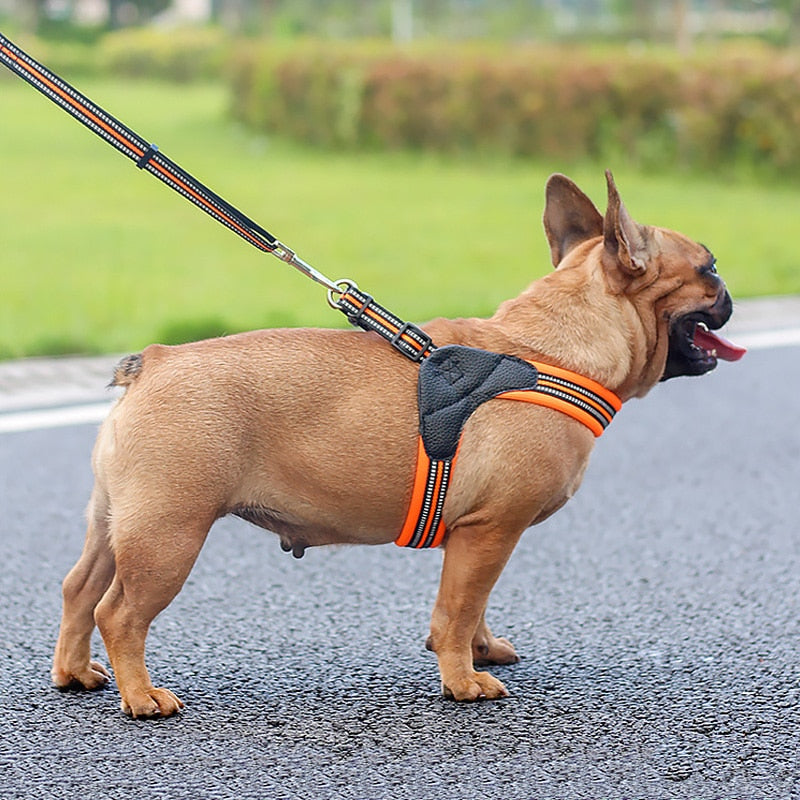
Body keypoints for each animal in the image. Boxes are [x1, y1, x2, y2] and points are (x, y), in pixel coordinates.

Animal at [51, 170, 744, 720]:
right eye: (708, 269)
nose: (728, 289)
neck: (551, 348)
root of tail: (153, 364)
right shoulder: (492, 529)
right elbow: (456, 610)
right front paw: (463, 681)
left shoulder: (478, 538)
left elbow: (473, 603)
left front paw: (480, 651)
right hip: (169, 533)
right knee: (119, 614)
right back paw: (143, 698)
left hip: (117, 522)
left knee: (79, 590)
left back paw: (75, 674)